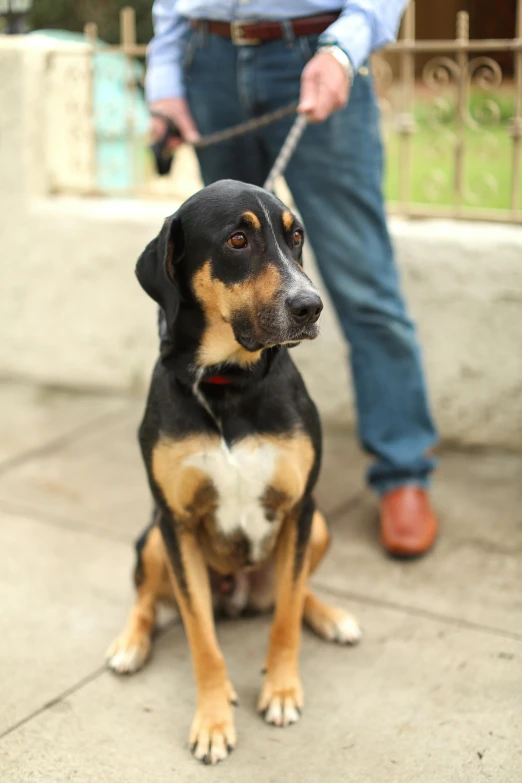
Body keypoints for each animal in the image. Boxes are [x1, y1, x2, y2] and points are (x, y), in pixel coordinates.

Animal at [105, 179, 358, 764]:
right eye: (238, 240)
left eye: (296, 237)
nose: (310, 306)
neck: (227, 382)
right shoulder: (175, 522)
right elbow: (201, 637)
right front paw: (214, 719)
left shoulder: (300, 507)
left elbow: (285, 616)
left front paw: (282, 690)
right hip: (152, 538)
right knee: (146, 598)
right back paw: (131, 642)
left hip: (319, 526)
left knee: (294, 591)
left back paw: (330, 616)